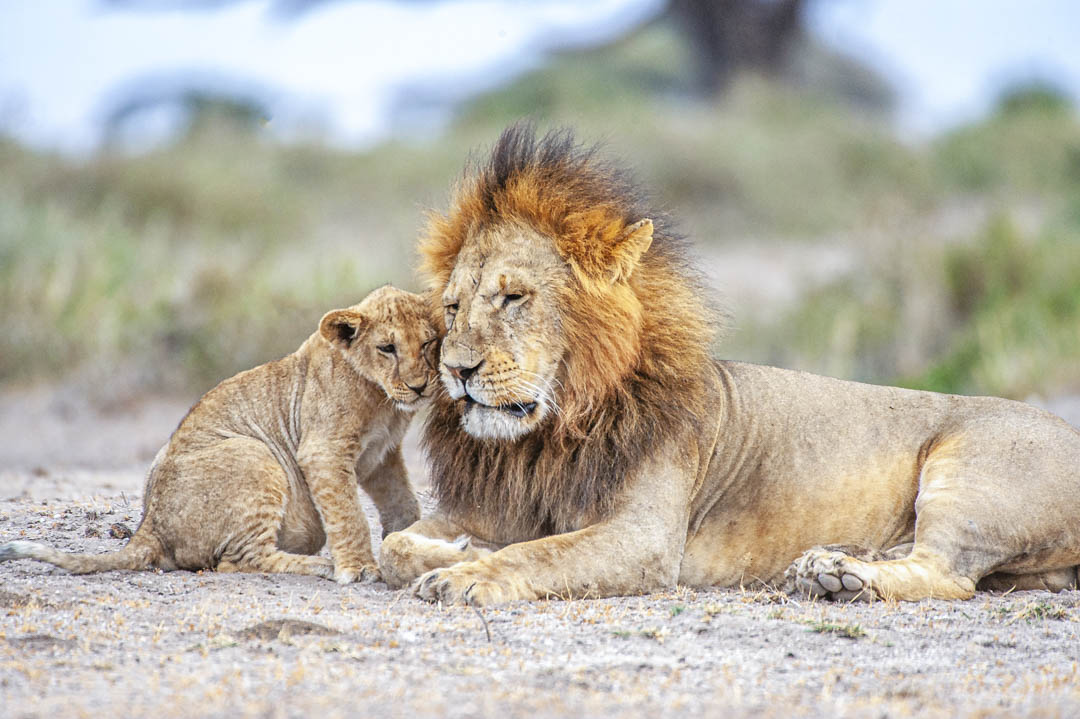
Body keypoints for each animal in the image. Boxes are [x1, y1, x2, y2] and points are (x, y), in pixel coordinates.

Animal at [1, 286, 437, 584]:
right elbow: (349, 514)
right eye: (387, 348)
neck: (382, 400)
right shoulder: (324, 451)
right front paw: (360, 568)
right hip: (254, 453)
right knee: (240, 559)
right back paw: (322, 565)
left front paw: (408, 541)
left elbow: (402, 502)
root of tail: (149, 527)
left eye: (429, 342)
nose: (419, 387)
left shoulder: (381, 455)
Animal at [378, 125, 1080, 604]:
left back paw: (842, 575)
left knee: (950, 573)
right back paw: (836, 562)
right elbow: (394, 545)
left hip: (970, 472)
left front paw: (465, 573)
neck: (547, 434)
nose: (456, 371)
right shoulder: (497, 506)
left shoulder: (645, 539)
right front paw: (445, 550)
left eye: (513, 298)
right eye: (452, 306)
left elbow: (538, 553)